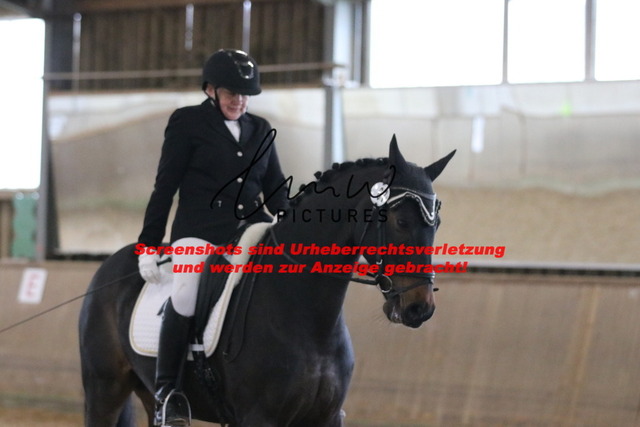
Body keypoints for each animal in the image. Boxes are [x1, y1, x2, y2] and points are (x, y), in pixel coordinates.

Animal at [78, 136, 455, 426]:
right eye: (401, 221)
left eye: (436, 224)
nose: (420, 308)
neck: (307, 316)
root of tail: (109, 267)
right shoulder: (259, 417)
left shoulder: (325, 417)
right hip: (104, 390)